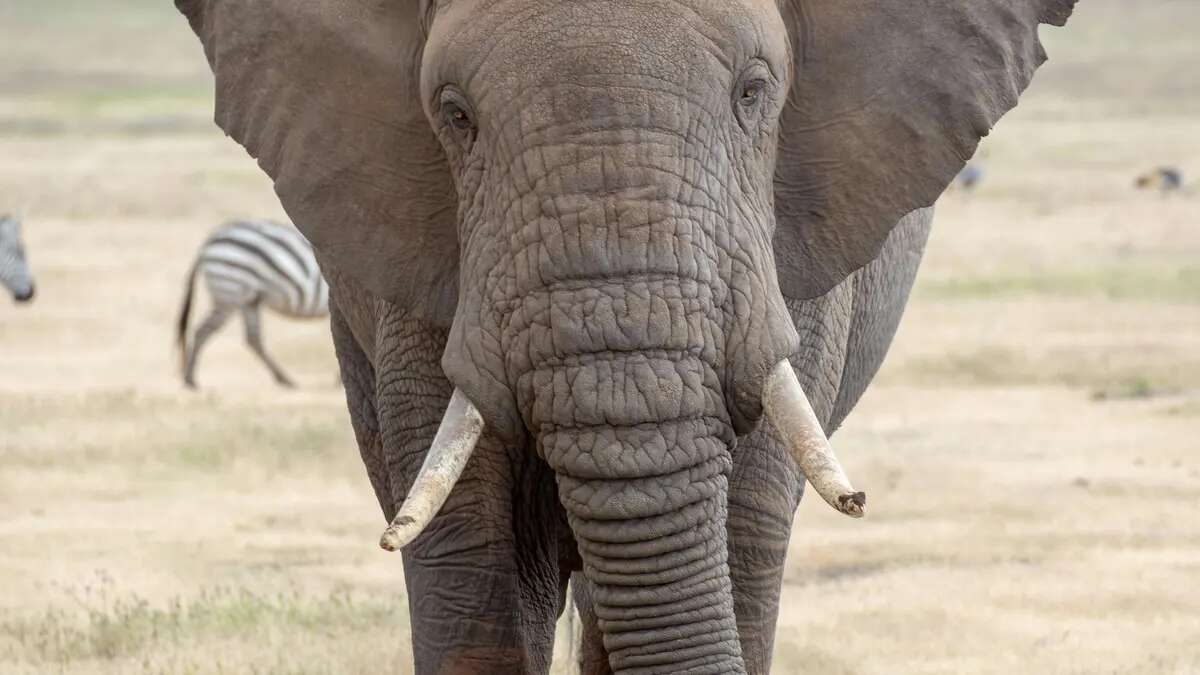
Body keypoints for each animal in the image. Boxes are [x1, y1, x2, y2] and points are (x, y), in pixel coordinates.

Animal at [176, 219, 328, 389]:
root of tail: (209, 241)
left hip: (247, 299)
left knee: (252, 338)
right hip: (230, 293)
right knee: (204, 331)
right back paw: (190, 379)